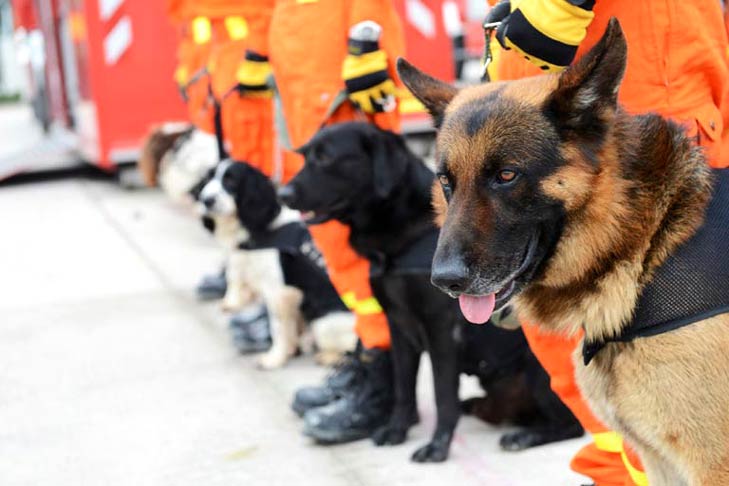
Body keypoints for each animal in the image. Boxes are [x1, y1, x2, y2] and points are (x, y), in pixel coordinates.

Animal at [276, 122, 584, 464]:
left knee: (573, 425)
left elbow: (442, 395)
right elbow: (403, 388)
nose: (282, 194)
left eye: (326, 158)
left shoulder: (442, 331)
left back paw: (525, 435)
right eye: (305, 156)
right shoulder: (398, 327)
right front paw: (396, 430)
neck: (400, 240)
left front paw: (437, 447)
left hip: (538, 372)